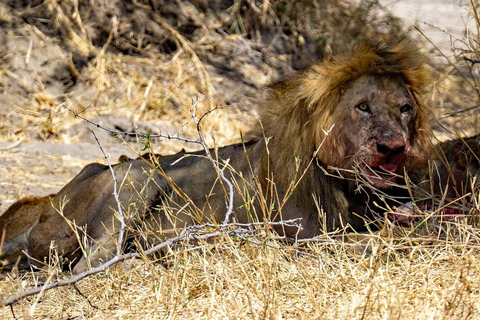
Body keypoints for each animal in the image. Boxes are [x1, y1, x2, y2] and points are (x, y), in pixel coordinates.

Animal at [0, 39, 434, 272]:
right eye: (362, 107)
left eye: (404, 109)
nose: (393, 147)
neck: (352, 189)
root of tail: (48, 203)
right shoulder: (304, 240)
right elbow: (385, 240)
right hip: (139, 173)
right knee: (87, 265)